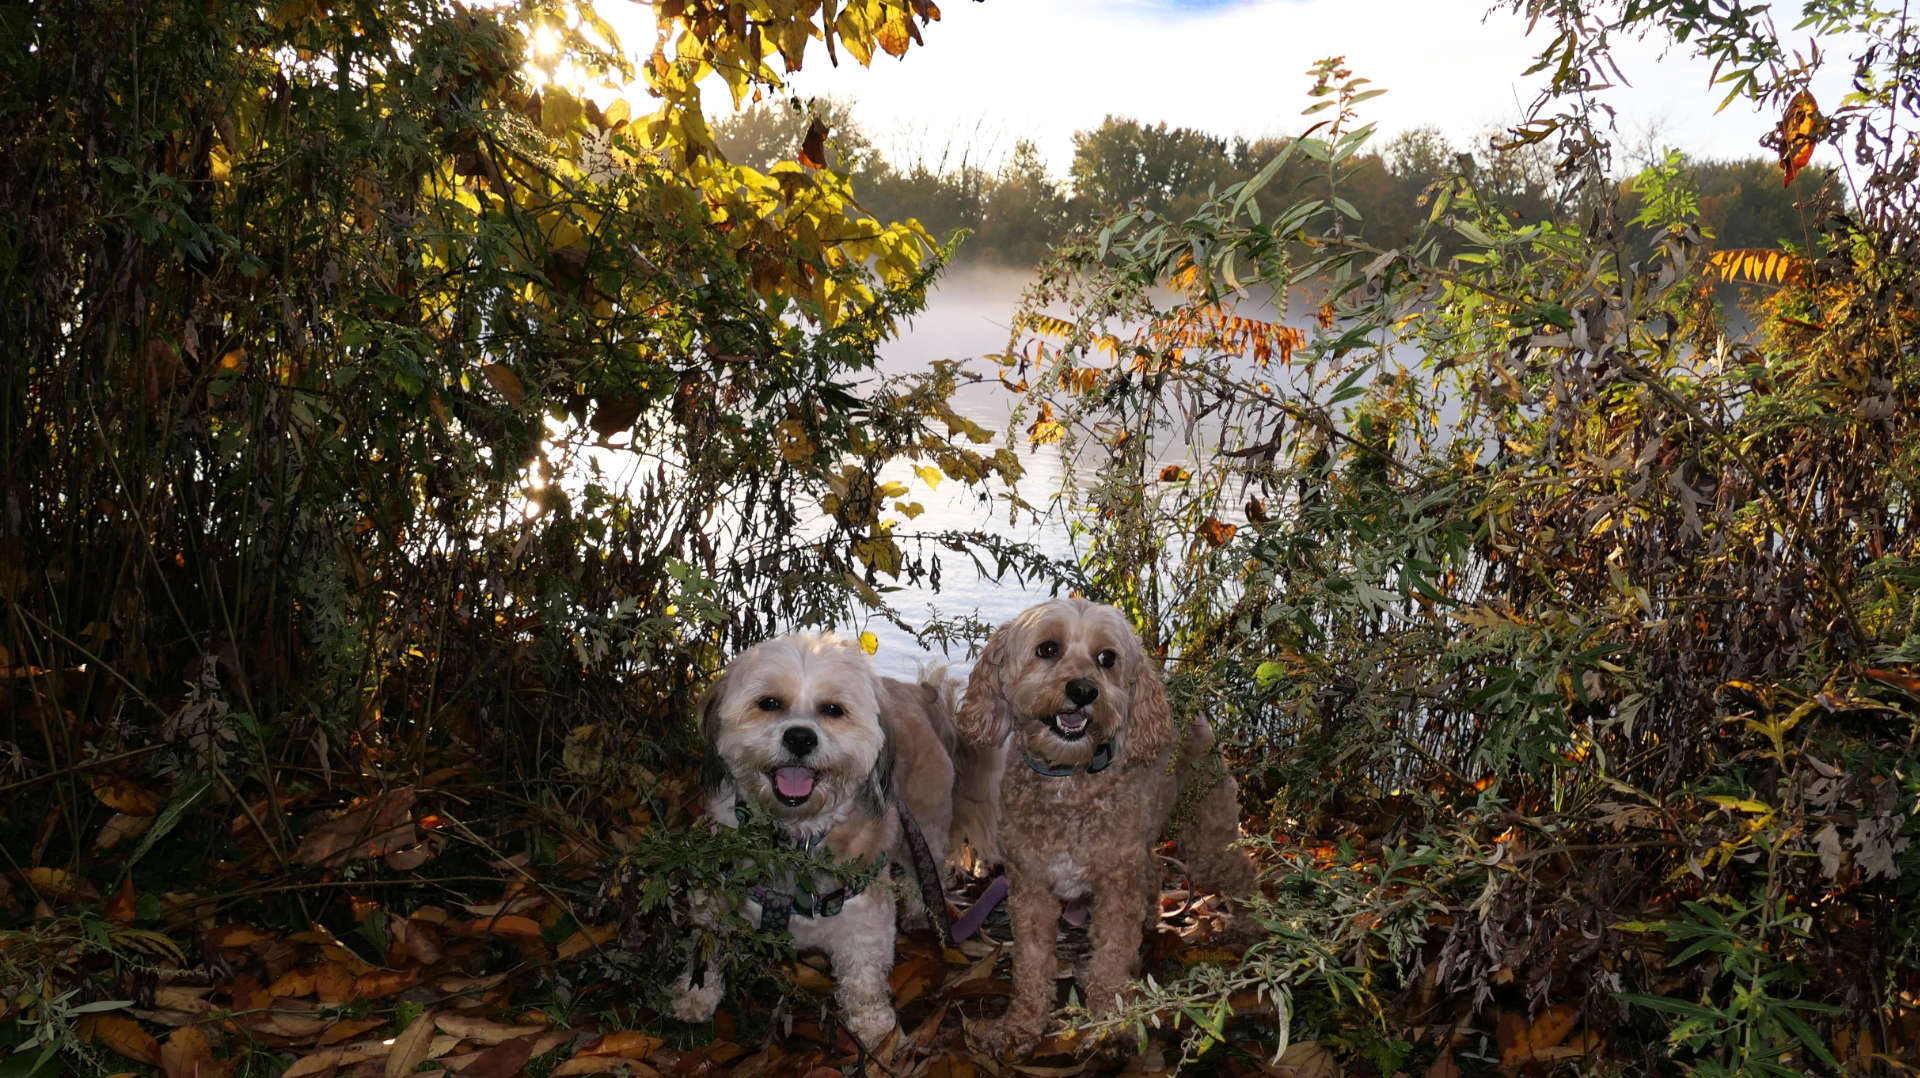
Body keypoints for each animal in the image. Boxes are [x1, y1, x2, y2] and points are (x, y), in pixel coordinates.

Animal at [672, 634, 1006, 1045]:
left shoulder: (864, 918)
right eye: (769, 703)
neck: (795, 838)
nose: (800, 738)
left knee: (925, 871)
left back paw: (920, 911)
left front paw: (876, 1029)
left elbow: (864, 980)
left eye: (833, 709)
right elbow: (705, 951)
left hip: (927, 823)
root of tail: (920, 691)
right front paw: (695, 994)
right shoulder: (713, 898)